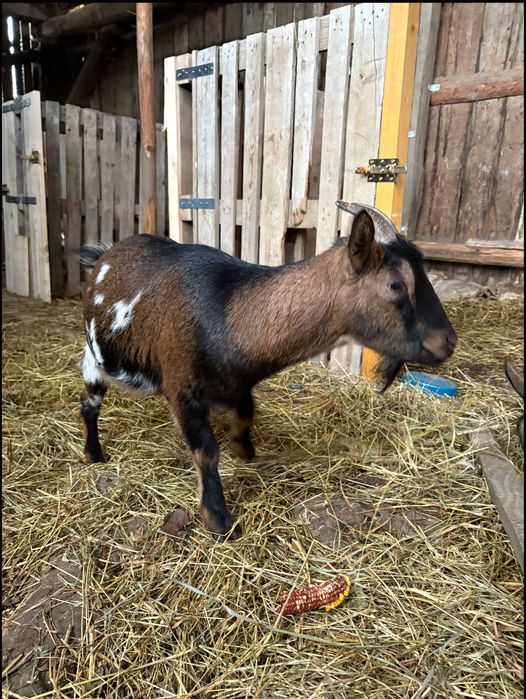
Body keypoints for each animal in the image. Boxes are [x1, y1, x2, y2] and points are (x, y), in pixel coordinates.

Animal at [78, 201, 457, 539]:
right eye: (396, 284)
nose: (448, 341)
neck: (229, 312)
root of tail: (103, 257)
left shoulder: (238, 385)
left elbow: (247, 413)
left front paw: (244, 450)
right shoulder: (182, 388)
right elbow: (206, 451)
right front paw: (219, 521)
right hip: (93, 358)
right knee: (88, 405)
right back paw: (94, 454)